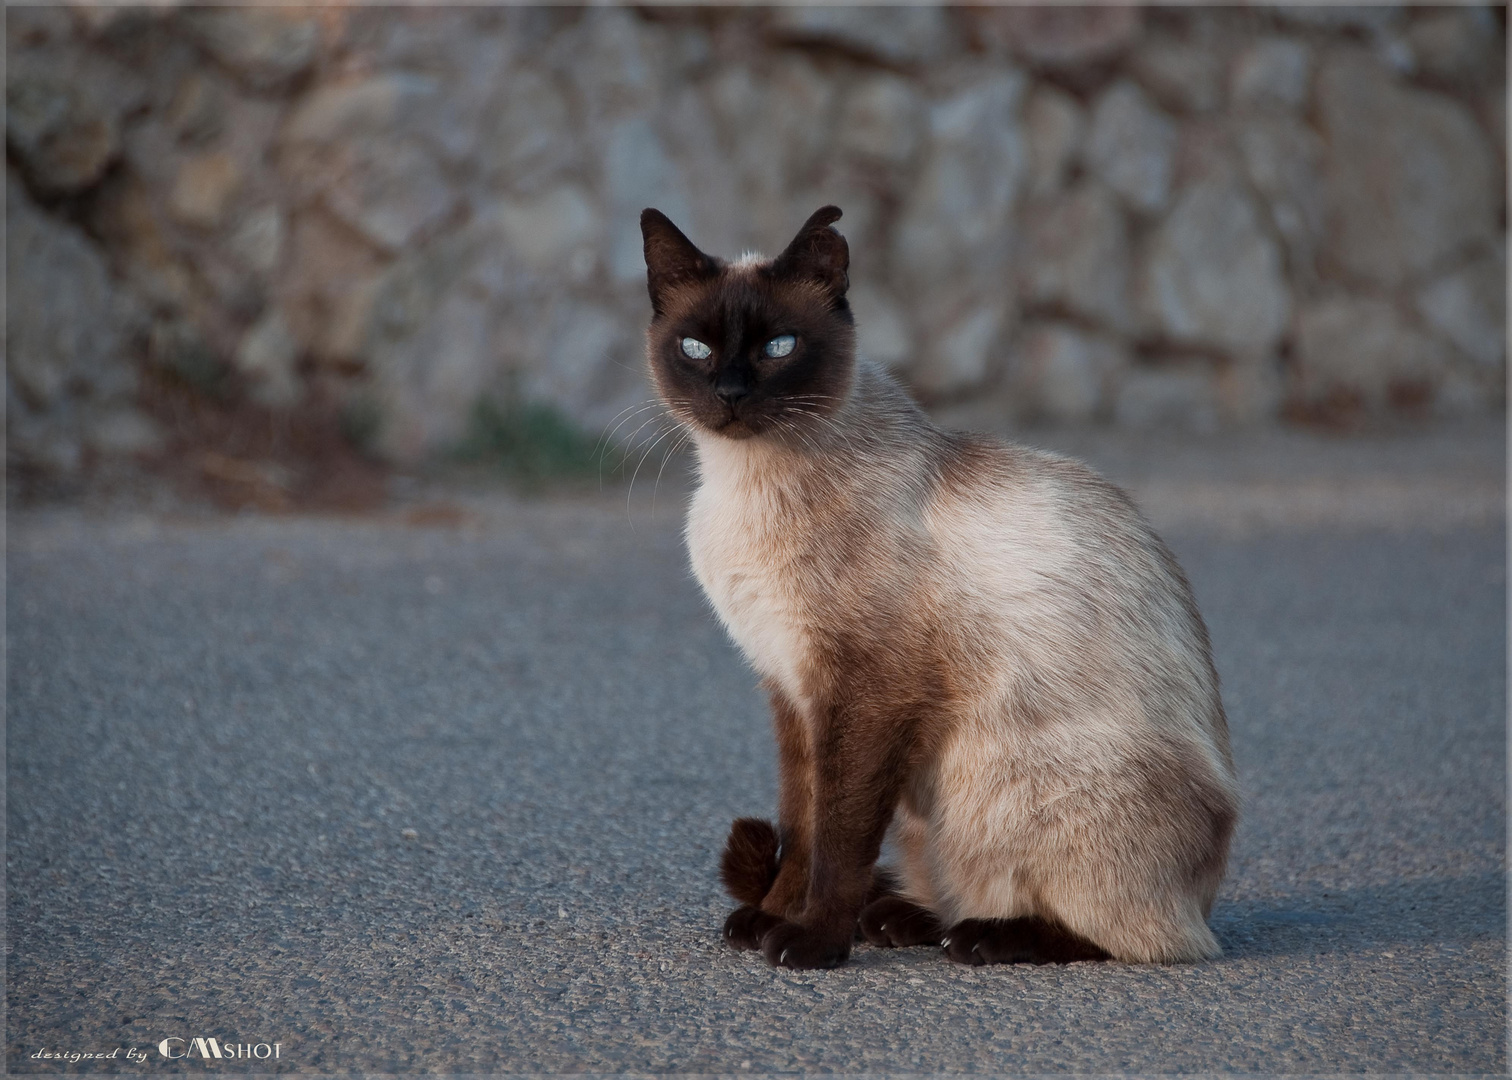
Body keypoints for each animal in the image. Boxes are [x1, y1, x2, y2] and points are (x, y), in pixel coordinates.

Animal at [638, 204, 1239, 968]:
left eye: (778, 346)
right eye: (694, 348)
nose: (731, 395)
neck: (740, 484)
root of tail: (1208, 897)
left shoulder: (864, 695)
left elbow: (838, 838)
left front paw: (809, 941)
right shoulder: (791, 688)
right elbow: (801, 824)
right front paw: (772, 919)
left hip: (1025, 786)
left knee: (1135, 939)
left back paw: (981, 937)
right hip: (927, 820)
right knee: (946, 888)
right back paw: (903, 919)